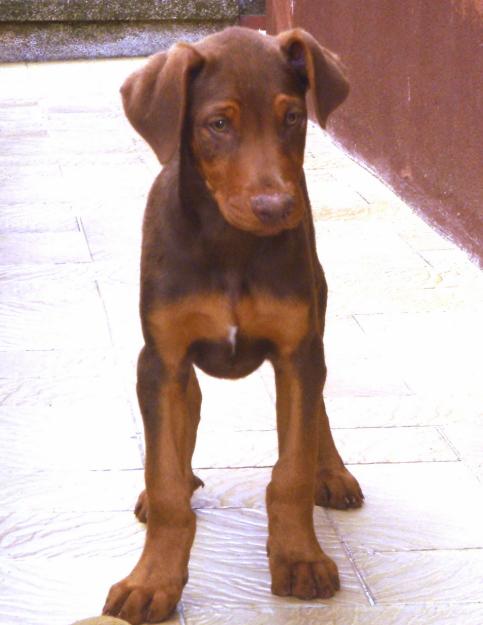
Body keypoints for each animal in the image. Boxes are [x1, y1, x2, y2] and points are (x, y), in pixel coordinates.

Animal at [105, 25, 364, 624]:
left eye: (292, 117)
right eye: (218, 125)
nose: (274, 207)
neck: (229, 243)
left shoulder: (296, 350)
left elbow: (290, 472)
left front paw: (300, 559)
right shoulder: (161, 359)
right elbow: (165, 478)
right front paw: (152, 580)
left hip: (316, 320)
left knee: (317, 408)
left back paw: (332, 472)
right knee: (183, 425)